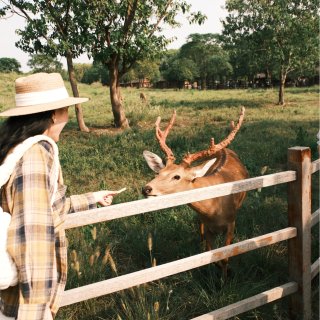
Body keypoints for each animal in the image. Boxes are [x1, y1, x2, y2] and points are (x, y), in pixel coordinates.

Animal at [142, 106, 250, 276]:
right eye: (158, 173)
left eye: (177, 176)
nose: (146, 189)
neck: (214, 210)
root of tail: (224, 150)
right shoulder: (208, 226)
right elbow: (211, 253)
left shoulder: (231, 222)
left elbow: (225, 257)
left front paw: (225, 277)